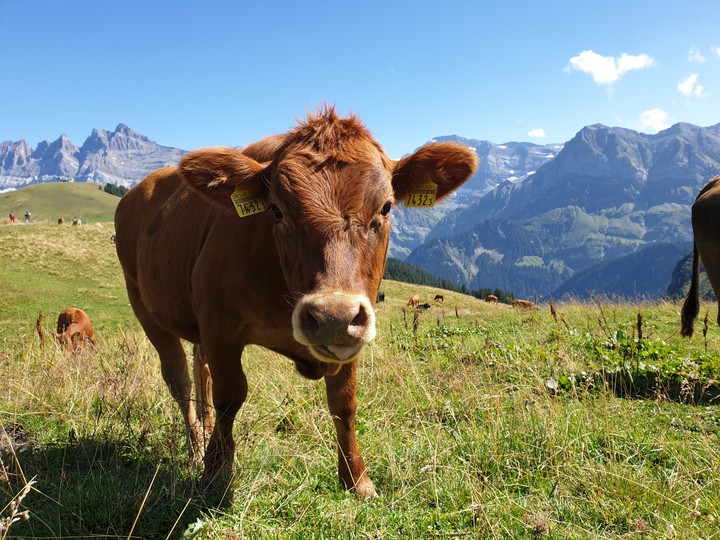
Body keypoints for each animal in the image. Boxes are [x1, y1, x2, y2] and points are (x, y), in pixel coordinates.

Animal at [114, 107, 478, 499]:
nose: (332, 317)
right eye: (276, 211)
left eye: (386, 207)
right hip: (142, 304)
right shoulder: (219, 324)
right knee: (179, 380)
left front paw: (357, 480)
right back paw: (197, 451)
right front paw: (217, 472)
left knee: (201, 372)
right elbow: (231, 396)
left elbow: (344, 402)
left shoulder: (356, 328)